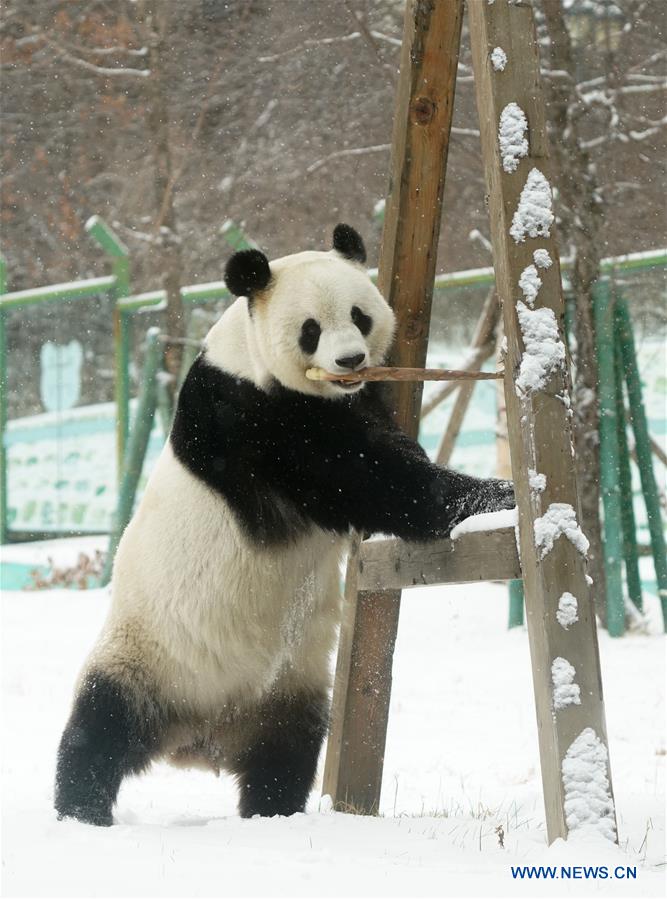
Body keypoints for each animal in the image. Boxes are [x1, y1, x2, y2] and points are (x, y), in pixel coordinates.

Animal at [56, 221, 516, 828]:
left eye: (360, 315)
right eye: (311, 330)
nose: (351, 360)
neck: (245, 356)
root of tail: (199, 737)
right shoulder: (250, 417)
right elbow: (368, 479)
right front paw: (494, 495)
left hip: (289, 687)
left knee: (287, 752)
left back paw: (272, 812)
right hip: (145, 655)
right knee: (99, 728)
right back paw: (81, 812)